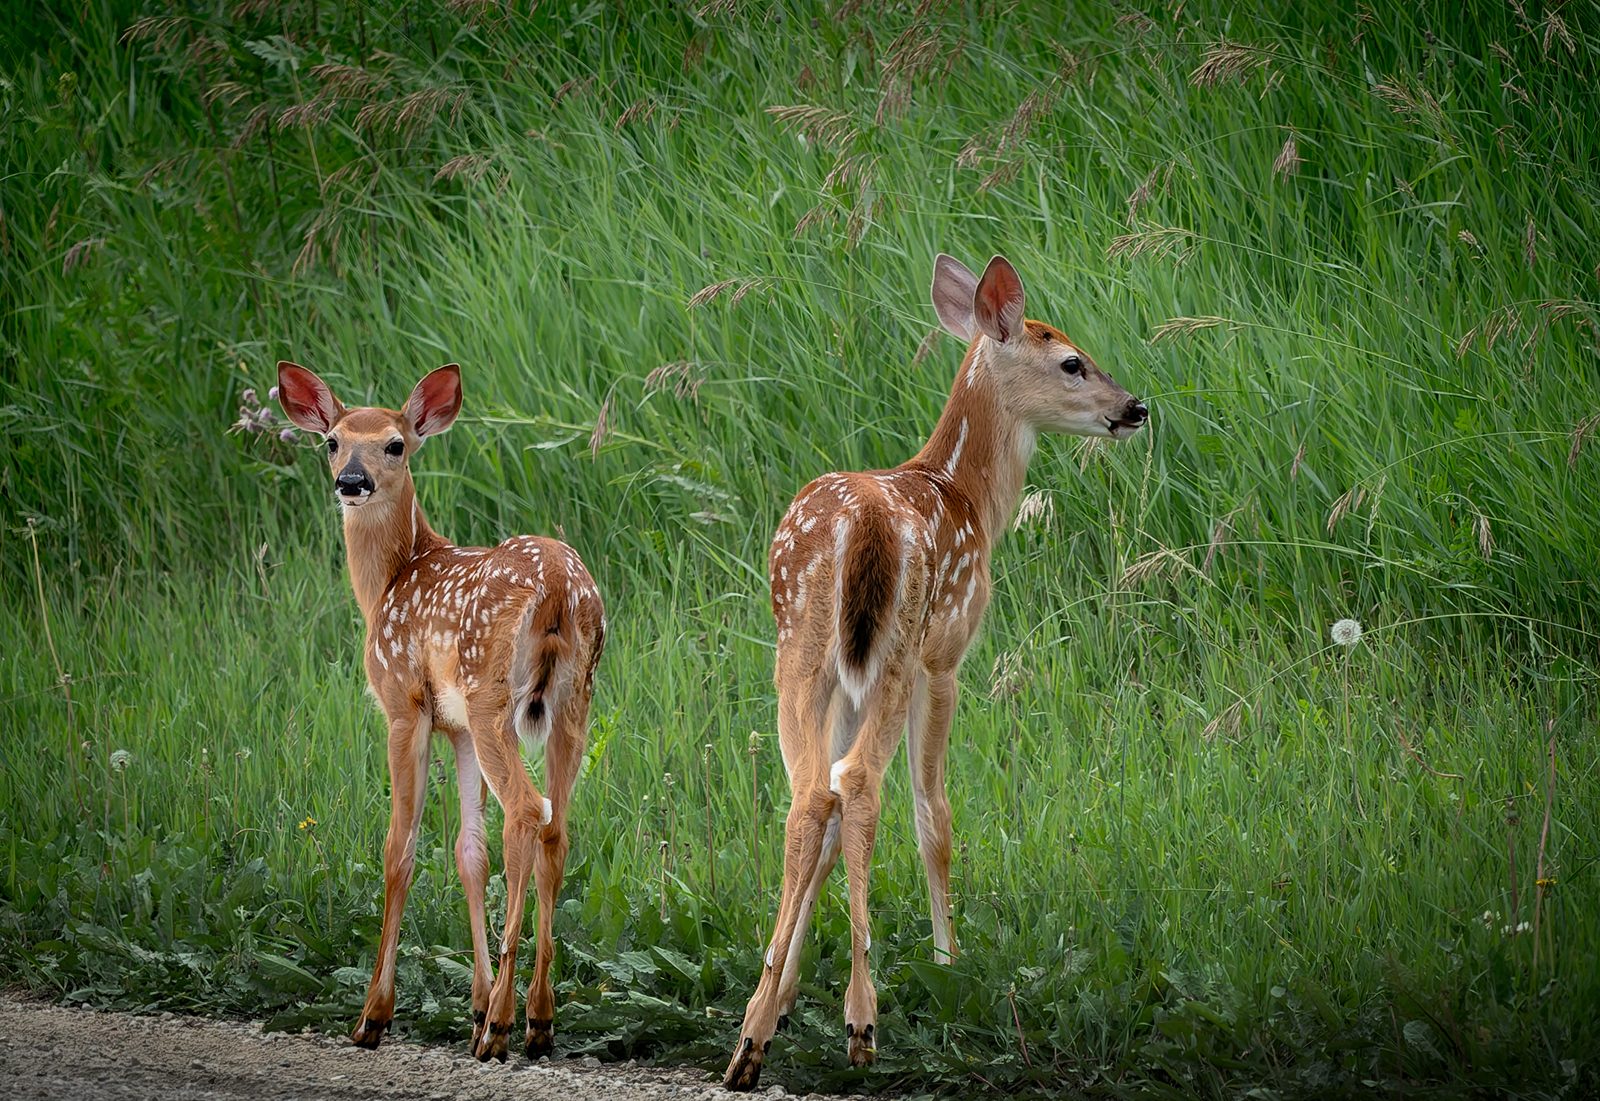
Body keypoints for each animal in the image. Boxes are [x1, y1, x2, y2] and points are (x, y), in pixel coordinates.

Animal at [275, 362, 605, 1064]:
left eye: (395, 444)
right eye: (332, 442)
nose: (352, 482)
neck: (391, 580)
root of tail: (558, 588)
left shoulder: (405, 704)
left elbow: (399, 847)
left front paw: (374, 1015)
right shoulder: (455, 731)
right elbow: (467, 853)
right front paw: (473, 1004)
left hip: (491, 698)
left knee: (527, 811)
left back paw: (502, 1025)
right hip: (572, 701)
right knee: (556, 825)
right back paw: (536, 1018)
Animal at [721, 254, 1148, 1090]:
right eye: (1071, 361)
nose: (1134, 407)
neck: (969, 497)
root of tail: (861, 528)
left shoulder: (852, 678)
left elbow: (824, 825)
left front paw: (780, 998)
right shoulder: (945, 655)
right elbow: (934, 814)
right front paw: (949, 959)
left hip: (801, 651)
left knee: (808, 795)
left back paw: (749, 1037)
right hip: (893, 649)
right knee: (860, 784)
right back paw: (861, 1021)